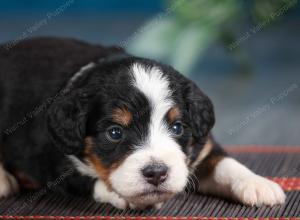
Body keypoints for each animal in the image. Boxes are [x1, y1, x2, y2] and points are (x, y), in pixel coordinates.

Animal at [0, 37, 286, 208]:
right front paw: (127, 196)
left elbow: (225, 164)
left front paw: (258, 184)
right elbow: (91, 181)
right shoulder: (55, 161)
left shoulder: (202, 147)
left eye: (177, 128)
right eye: (115, 133)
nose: (157, 173)